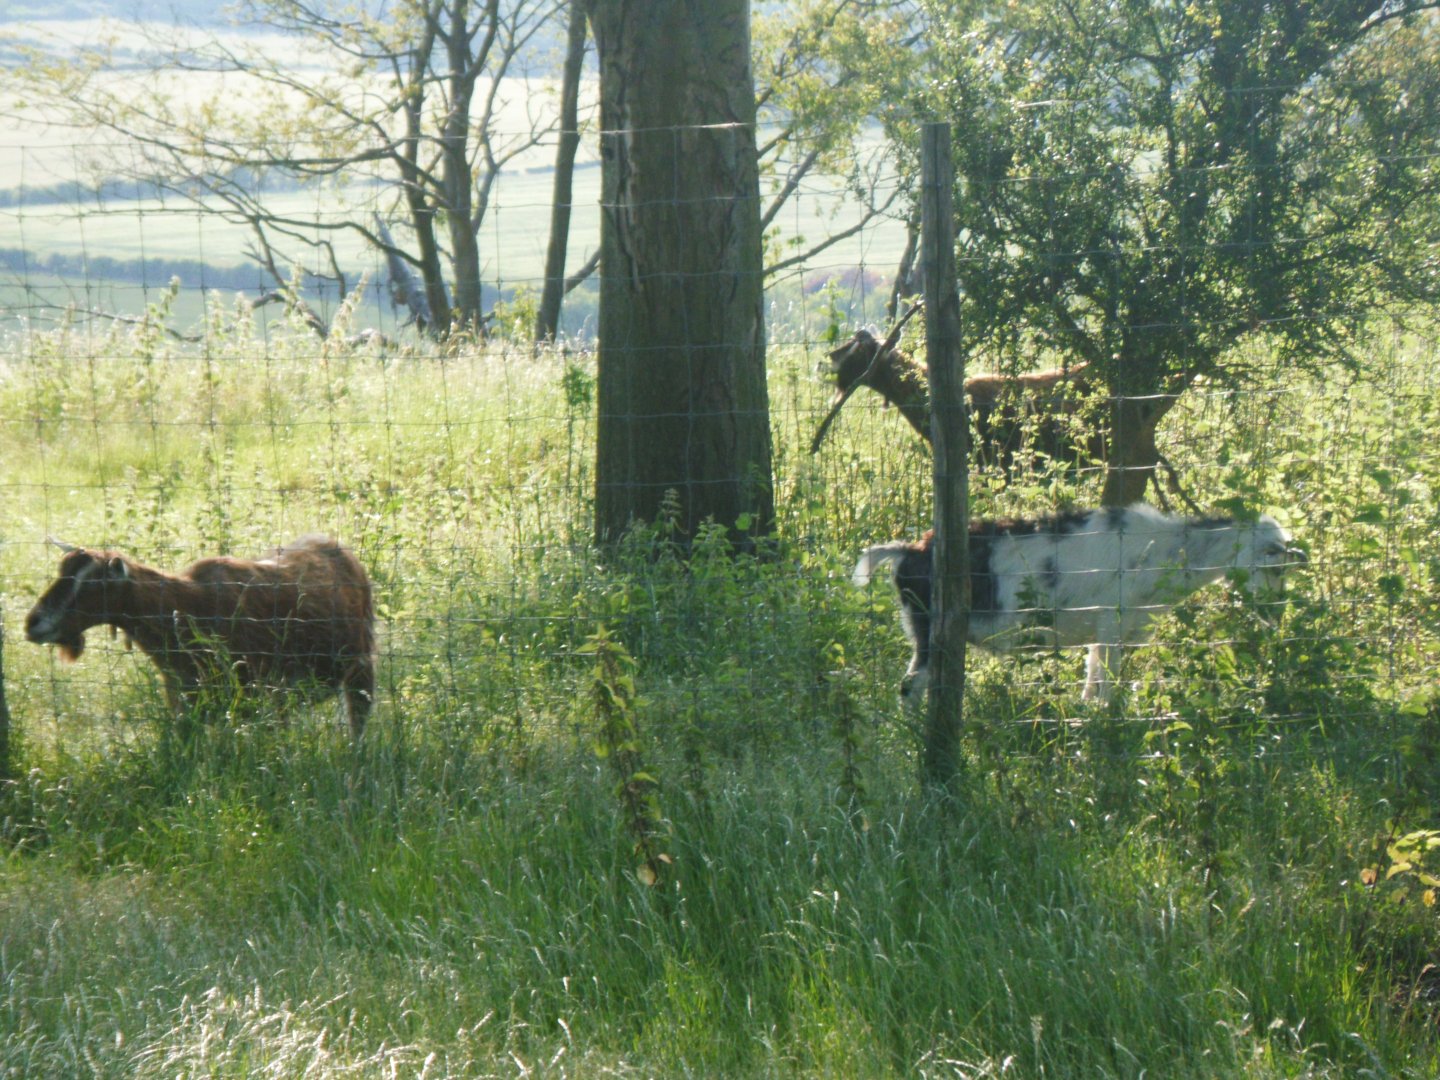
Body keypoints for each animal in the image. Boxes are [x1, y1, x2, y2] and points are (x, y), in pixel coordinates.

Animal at [26, 535, 376, 737]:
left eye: (93, 584)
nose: (33, 623)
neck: (186, 610)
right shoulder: (184, 704)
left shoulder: (252, 700)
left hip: (359, 669)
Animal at [853, 503, 1306, 703]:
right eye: (1275, 565)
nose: (1275, 615)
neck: (1165, 553)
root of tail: (908, 551)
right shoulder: (1112, 624)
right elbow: (1109, 688)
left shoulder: (1100, 633)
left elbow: (1091, 684)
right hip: (930, 629)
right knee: (910, 685)